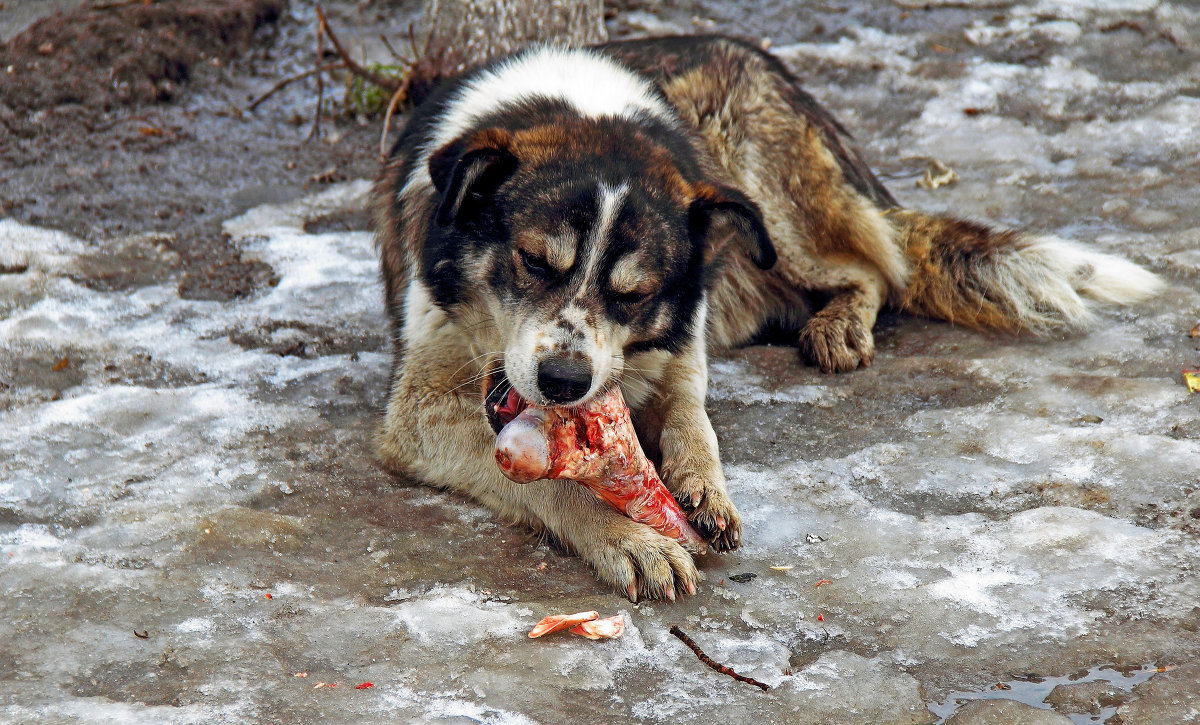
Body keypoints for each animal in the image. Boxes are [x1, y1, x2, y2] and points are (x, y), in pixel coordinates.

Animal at [372, 35, 1161, 600]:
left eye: (633, 294)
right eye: (534, 260)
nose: (565, 382)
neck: (578, 105)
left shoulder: (677, 345)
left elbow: (693, 416)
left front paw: (702, 484)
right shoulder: (419, 410)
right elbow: (555, 482)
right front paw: (630, 538)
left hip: (762, 197)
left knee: (876, 268)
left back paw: (840, 325)